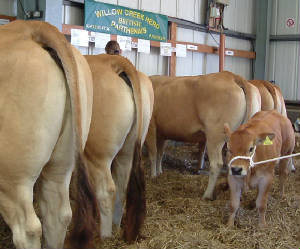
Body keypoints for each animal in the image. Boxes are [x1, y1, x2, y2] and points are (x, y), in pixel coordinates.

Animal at [145, 71, 260, 199]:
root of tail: (232, 76)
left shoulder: (150, 127)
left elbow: (153, 153)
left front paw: (153, 176)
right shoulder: (162, 133)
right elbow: (160, 153)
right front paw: (159, 172)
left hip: (215, 136)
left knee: (216, 164)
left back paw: (207, 194)